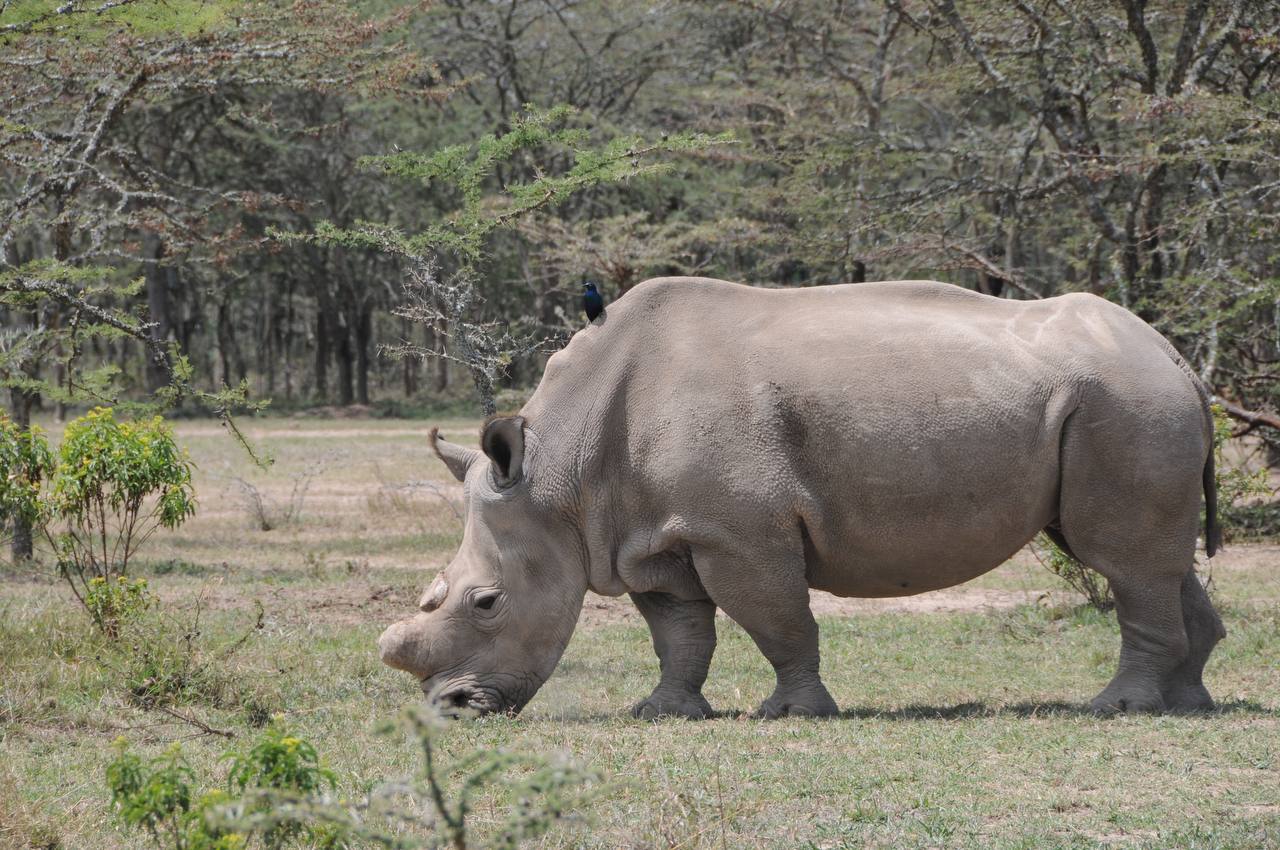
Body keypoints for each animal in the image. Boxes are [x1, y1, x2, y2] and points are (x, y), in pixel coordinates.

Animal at [376, 279, 1218, 716]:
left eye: (486, 603)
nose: (451, 708)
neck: (560, 479)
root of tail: (1176, 355)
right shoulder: (649, 533)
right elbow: (679, 632)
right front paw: (665, 712)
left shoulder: (738, 531)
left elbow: (776, 621)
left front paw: (793, 714)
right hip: (1122, 399)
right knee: (1150, 560)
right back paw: (1189, 704)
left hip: (1126, 400)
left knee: (1121, 558)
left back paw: (1117, 708)